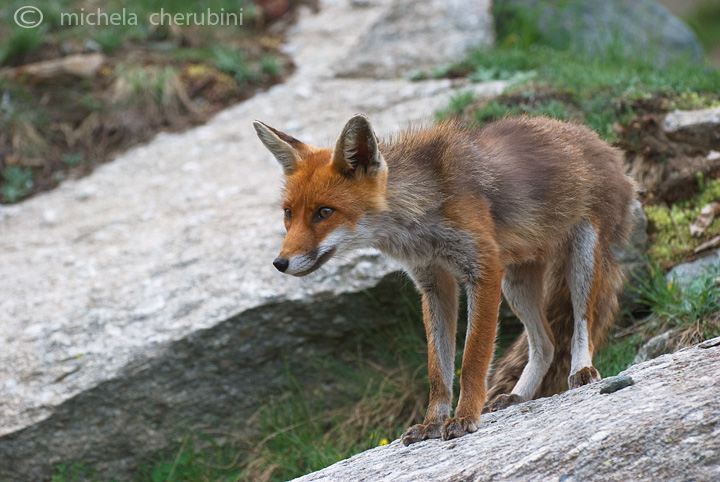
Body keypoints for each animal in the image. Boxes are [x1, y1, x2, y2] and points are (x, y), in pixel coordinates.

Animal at [253, 113, 636, 444]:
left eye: (324, 212)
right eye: (289, 214)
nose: (280, 263)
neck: (420, 220)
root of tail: (600, 141)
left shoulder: (482, 271)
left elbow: (472, 360)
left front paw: (465, 417)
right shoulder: (434, 284)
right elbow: (438, 369)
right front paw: (432, 424)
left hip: (581, 259)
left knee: (580, 324)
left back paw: (581, 371)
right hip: (516, 283)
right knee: (546, 343)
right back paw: (517, 396)